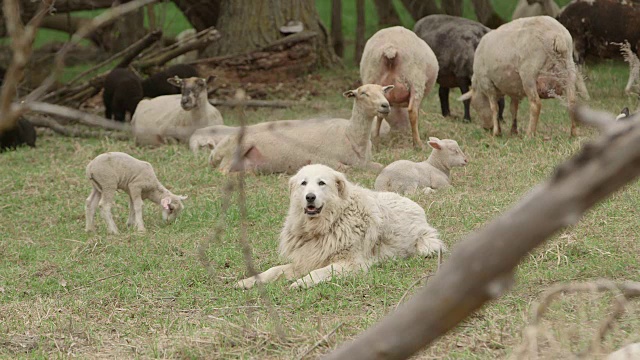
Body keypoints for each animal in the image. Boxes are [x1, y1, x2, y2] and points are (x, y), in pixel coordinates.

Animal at [209, 84, 396, 174]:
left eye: (383, 91)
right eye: (363, 93)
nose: (385, 105)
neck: (351, 136)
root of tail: (214, 153)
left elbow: (381, 167)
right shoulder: (324, 159)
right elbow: (348, 169)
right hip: (236, 148)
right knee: (222, 171)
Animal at [235, 163, 444, 290]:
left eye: (321, 183)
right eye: (304, 183)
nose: (310, 197)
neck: (329, 223)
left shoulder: (350, 264)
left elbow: (319, 272)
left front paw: (301, 283)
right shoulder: (307, 259)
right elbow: (273, 270)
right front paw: (248, 281)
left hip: (427, 244)